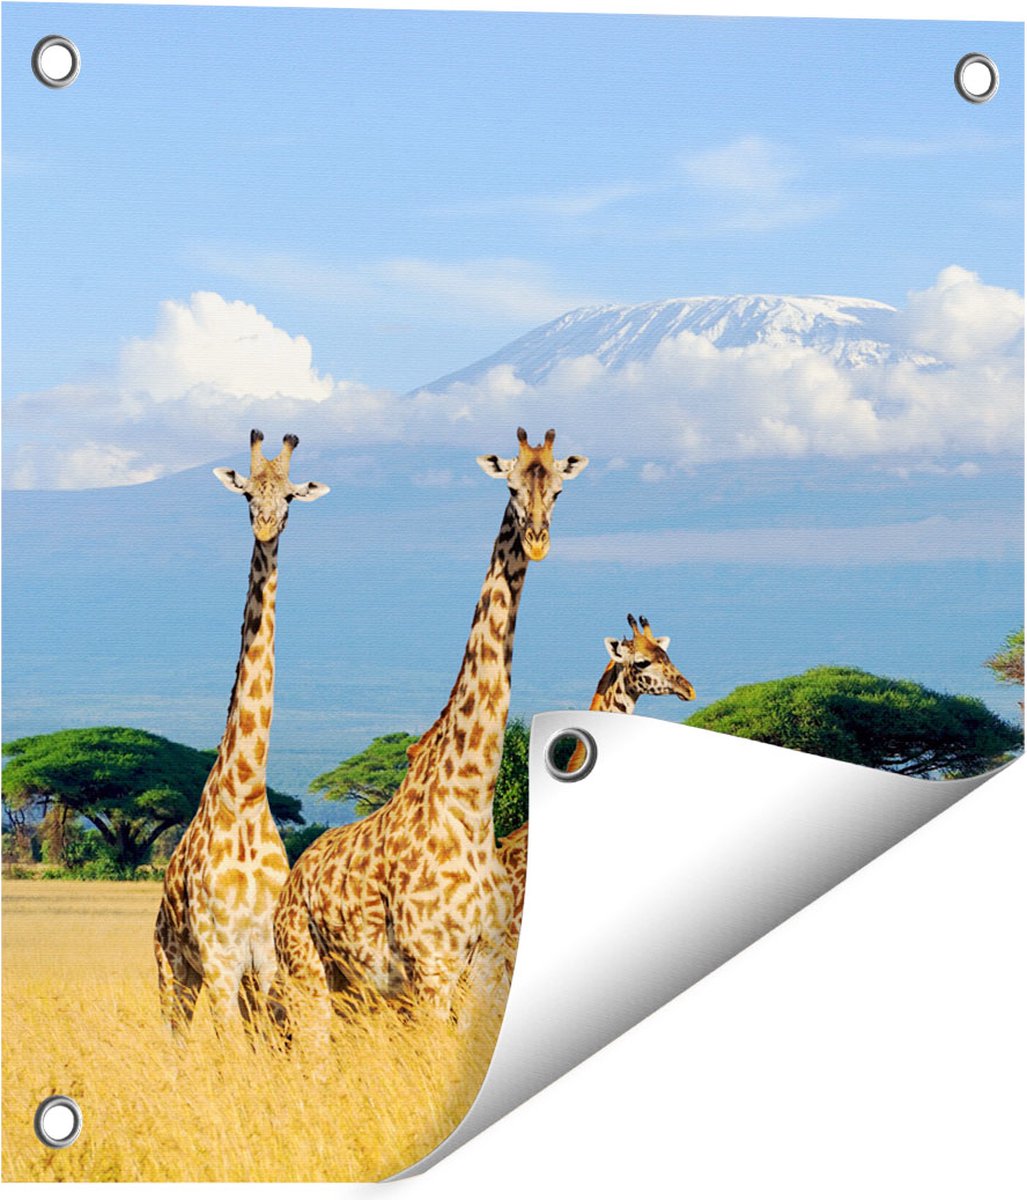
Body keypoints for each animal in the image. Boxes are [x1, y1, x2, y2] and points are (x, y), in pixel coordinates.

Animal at [154, 430, 329, 1036]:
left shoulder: (268, 959)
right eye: (248, 494)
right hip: (172, 969)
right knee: (175, 1039)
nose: (266, 527)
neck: (248, 791)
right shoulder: (221, 958)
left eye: (292, 497)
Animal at [273, 428, 588, 1031]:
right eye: (511, 487)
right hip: (307, 974)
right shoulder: (432, 969)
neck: (470, 800)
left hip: (357, 992)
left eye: (559, 490)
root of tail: (293, 877)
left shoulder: (485, 967)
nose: (537, 541)